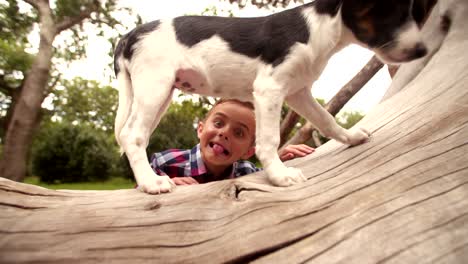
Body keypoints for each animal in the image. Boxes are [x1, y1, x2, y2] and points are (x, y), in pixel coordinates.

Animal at [114, 0, 428, 194]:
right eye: (392, 13)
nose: (423, 50)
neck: (319, 27)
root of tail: (130, 35)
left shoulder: (299, 92)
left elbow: (325, 119)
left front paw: (350, 137)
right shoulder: (269, 88)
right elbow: (269, 140)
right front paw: (280, 176)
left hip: (160, 93)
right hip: (155, 86)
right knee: (133, 135)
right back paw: (151, 183)